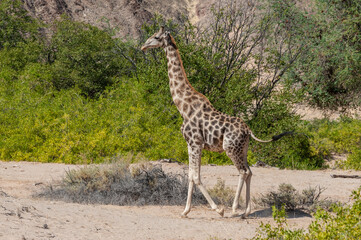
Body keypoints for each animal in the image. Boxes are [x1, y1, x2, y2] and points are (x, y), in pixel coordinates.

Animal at [141, 27, 290, 218]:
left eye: (155, 37)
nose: (143, 46)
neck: (182, 106)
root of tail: (248, 130)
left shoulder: (195, 142)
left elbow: (196, 177)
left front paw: (218, 209)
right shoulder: (192, 144)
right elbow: (191, 175)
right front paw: (185, 211)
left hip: (230, 148)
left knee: (243, 171)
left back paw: (234, 209)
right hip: (243, 149)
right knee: (249, 171)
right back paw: (246, 211)